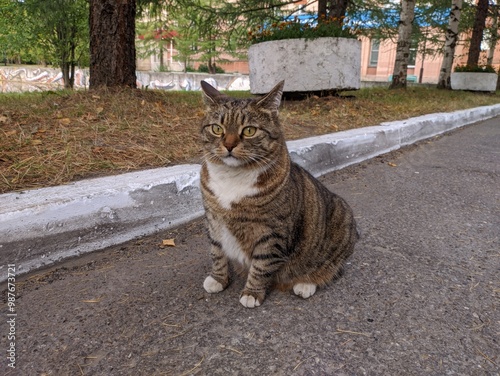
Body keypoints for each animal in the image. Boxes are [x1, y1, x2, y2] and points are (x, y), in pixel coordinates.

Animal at [197, 81, 358, 306]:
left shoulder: (272, 232)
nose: (228, 145)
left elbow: (261, 265)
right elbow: (216, 252)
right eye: (216, 128)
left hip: (341, 217)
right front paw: (218, 279)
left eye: (249, 131)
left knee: (331, 267)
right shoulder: (213, 221)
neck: (232, 177)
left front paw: (252, 293)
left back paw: (306, 284)